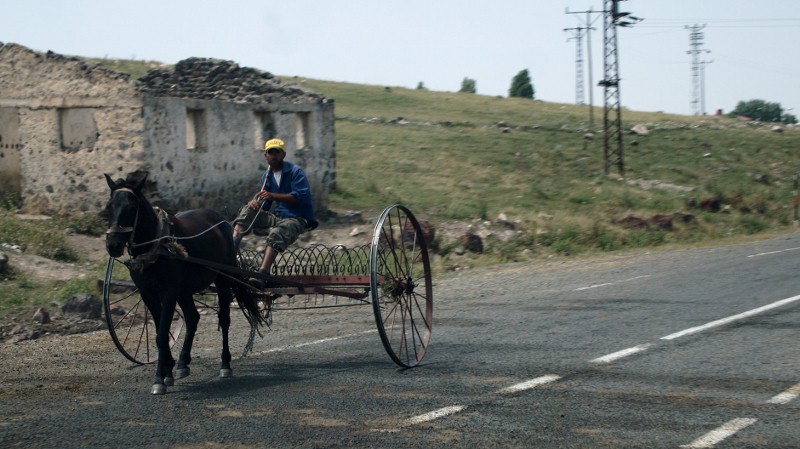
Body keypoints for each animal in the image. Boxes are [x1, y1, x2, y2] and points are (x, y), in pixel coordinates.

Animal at [101, 173, 266, 394]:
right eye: (109, 206)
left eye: (132, 206)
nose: (113, 245)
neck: (156, 248)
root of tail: (221, 220)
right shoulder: (147, 293)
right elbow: (160, 332)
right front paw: (168, 371)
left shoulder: (169, 292)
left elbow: (162, 334)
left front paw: (159, 379)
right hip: (185, 289)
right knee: (193, 317)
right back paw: (182, 363)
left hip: (222, 279)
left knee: (224, 319)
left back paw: (225, 364)